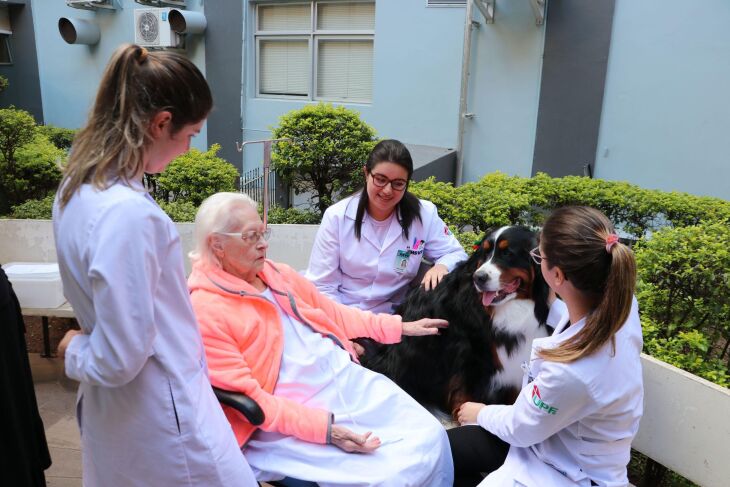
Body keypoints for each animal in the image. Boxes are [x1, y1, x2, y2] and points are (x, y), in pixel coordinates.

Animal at [362, 227, 548, 418]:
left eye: (508, 253)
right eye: (485, 253)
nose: (478, 277)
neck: (511, 306)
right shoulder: (470, 349)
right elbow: (465, 388)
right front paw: (468, 414)